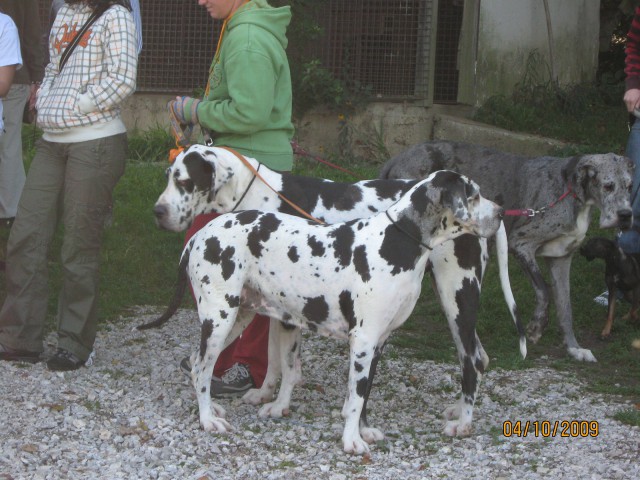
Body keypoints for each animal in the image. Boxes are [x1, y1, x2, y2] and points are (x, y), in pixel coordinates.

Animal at [149, 144, 524, 436]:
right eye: (168, 175)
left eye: (184, 180)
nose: (158, 212)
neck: (256, 192)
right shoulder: (278, 308)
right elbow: (275, 359)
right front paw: (266, 395)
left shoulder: (292, 314)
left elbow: (289, 365)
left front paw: (280, 404)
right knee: (479, 357)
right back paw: (457, 410)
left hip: (457, 298)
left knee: (472, 359)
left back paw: (464, 421)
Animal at [380, 141, 636, 362]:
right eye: (608, 185)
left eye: (630, 186)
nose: (626, 215)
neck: (570, 192)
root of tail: (398, 158)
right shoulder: (521, 244)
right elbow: (544, 290)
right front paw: (536, 327)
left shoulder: (561, 258)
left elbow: (566, 308)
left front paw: (574, 348)